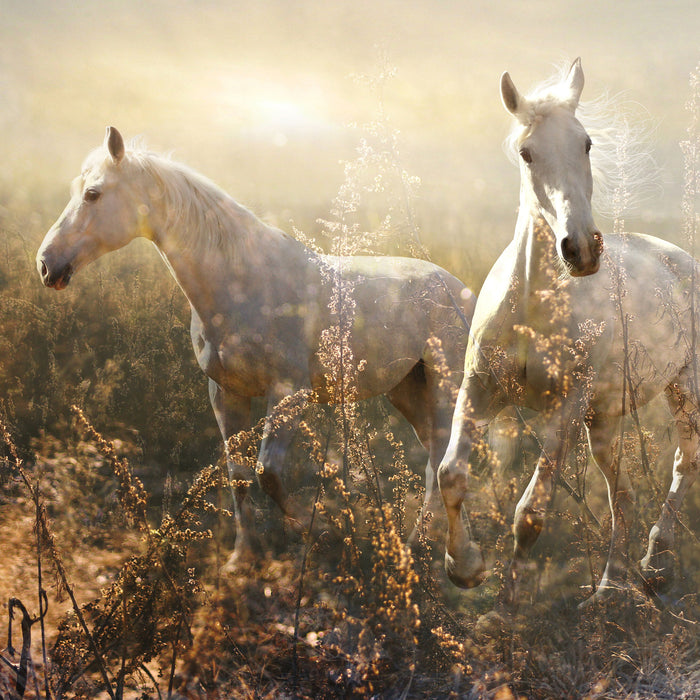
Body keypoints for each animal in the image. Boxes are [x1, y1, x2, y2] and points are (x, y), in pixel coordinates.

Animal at [37, 126, 476, 568]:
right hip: (407, 391)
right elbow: (239, 474)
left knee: (442, 463)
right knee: (436, 458)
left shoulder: (288, 392)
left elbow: (268, 472)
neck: (245, 282)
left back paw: (432, 554)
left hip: (445, 389)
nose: (46, 265)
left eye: (93, 194)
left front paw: (319, 532)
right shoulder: (225, 392)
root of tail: (460, 290)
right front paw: (243, 556)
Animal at [440, 60, 696, 604]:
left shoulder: (567, 407)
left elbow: (531, 512)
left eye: (587, 144)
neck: (532, 308)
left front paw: (508, 609)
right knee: (622, 494)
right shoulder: (478, 390)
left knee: (687, 462)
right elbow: (451, 474)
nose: (581, 248)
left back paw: (655, 562)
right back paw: (609, 587)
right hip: (604, 422)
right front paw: (465, 567)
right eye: (527, 152)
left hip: (684, 388)